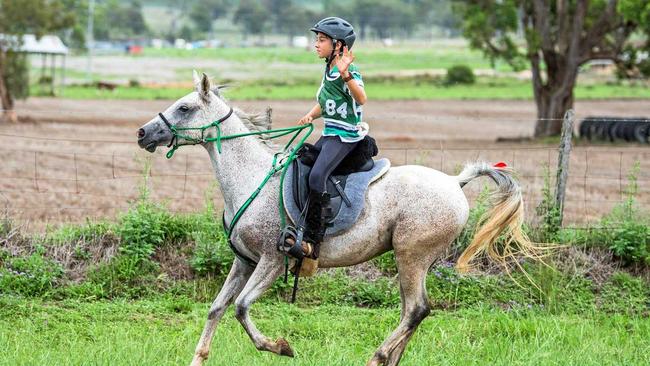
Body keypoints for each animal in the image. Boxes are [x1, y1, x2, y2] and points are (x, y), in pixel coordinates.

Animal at [137, 72, 536, 366]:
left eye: (185, 107)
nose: (142, 133)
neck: (252, 177)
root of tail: (455, 181)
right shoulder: (244, 261)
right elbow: (217, 308)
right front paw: (199, 357)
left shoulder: (271, 259)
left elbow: (241, 308)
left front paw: (282, 346)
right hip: (411, 260)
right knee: (412, 312)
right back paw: (390, 359)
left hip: (412, 256)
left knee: (417, 309)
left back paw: (377, 357)